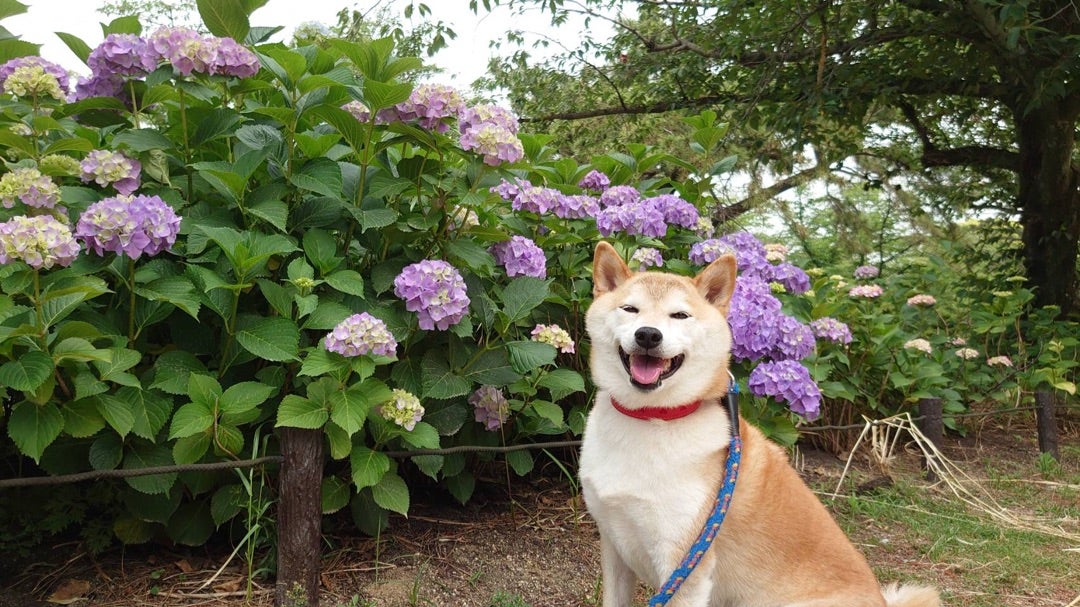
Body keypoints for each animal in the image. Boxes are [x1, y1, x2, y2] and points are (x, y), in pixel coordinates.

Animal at [578, 241, 941, 604]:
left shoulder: (686, 567)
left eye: (679, 315)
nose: (648, 335)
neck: (651, 417)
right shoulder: (613, 544)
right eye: (630, 309)